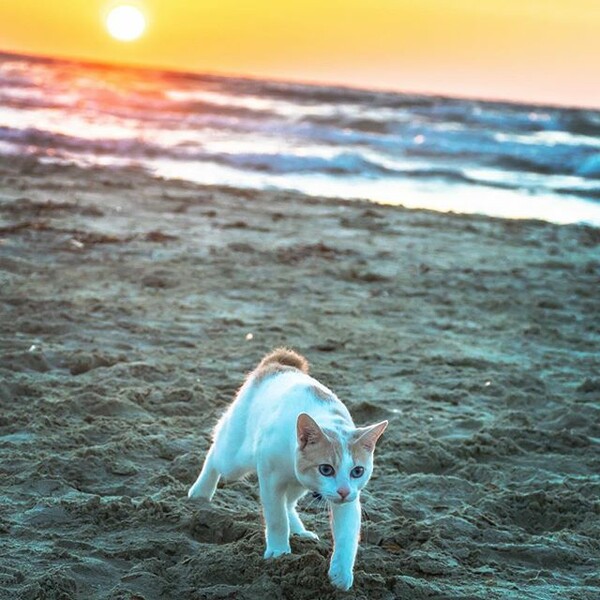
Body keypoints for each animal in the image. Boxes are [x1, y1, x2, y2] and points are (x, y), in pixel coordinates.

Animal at [188, 346, 390, 592]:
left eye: (357, 471)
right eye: (326, 469)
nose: (343, 491)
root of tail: (277, 364)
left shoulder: (350, 497)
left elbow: (347, 536)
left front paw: (341, 575)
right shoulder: (270, 478)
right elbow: (276, 517)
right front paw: (279, 551)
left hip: (298, 484)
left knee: (289, 502)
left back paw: (300, 531)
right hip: (235, 458)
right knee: (216, 453)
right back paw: (200, 492)